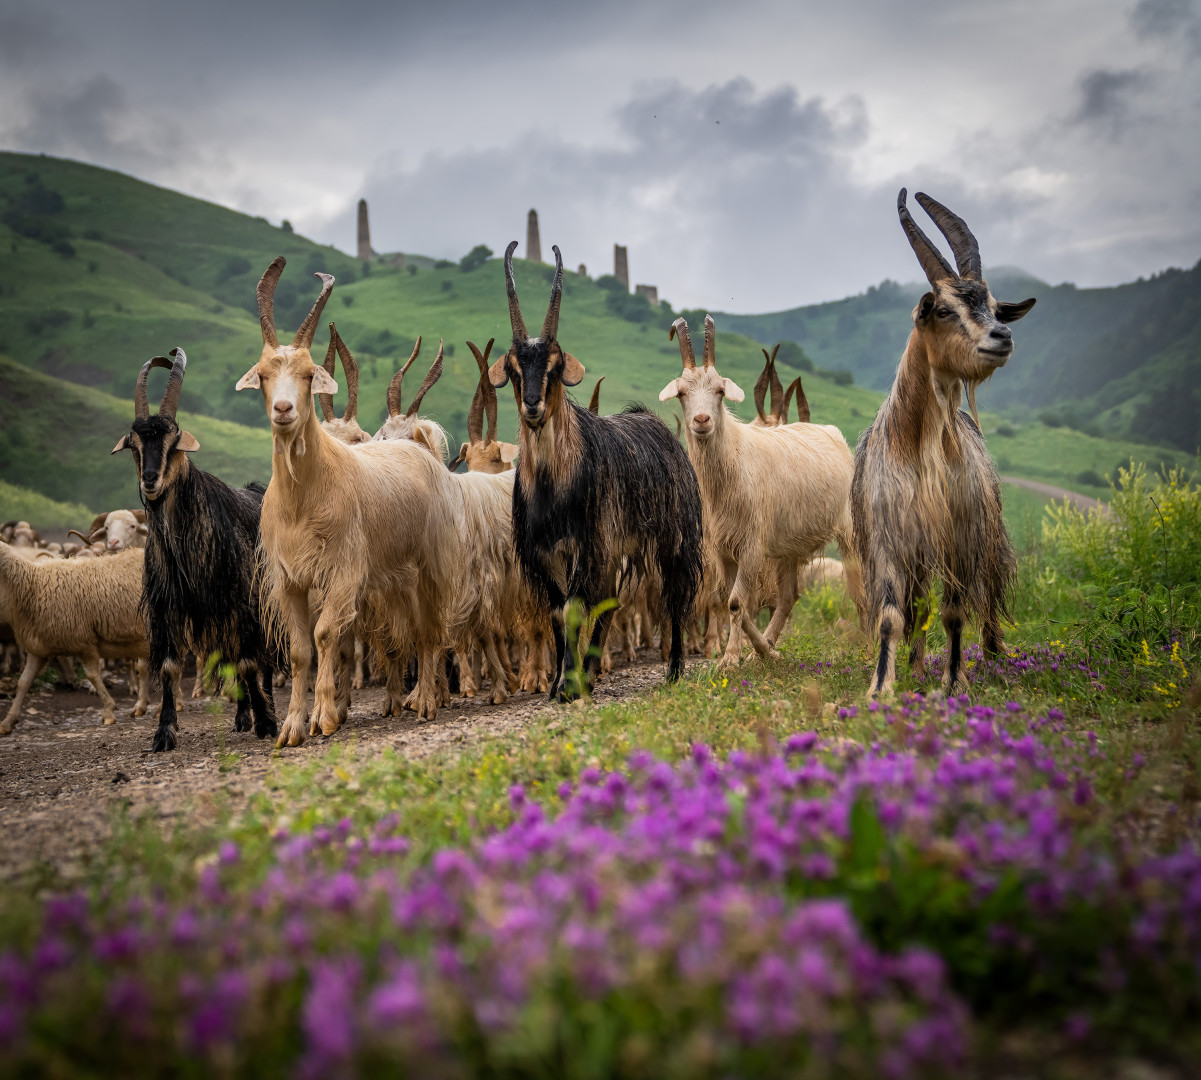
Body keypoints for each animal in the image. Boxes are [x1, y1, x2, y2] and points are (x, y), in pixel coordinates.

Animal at [0, 550, 150, 735]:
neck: (32, 588)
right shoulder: (38, 649)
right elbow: (23, 682)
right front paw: (8, 722)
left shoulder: (84, 642)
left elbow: (92, 676)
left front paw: (108, 711)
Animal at [112, 345, 281, 749]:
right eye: (134, 446)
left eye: (173, 442)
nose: (150, 480)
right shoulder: (168, 605)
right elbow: (170, 667)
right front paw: (164, 732)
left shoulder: (241, 600)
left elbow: (251, 662)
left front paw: (267, 722)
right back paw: (242, 716)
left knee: (262, 661)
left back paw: (265, 711)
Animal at [234, 255, 463, 744]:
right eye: (263, 375)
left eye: (307, 375)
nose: (283, 410)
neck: (305, 499)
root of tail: (420, 450)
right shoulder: (290, 579)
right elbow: (301, 649)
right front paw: (292, 726)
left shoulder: (343, 572)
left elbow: (326, 637)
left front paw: (323, 715)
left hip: (429, 566)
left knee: (429, 631)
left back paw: (426, 701)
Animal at [485, 242, 701, 701]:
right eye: (513, 369)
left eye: (554, 365)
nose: (532, 406)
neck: (551, 486)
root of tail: (653, 421)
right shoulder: (545, 553)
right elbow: (557, 613)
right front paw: (557, 682)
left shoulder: (586, 545)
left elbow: (572, 610)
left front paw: (567, 685)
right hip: (617, 546)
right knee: (611, 601)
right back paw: (591, 670)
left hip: (674, 537)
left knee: (674, 595)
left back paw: (674, 669)